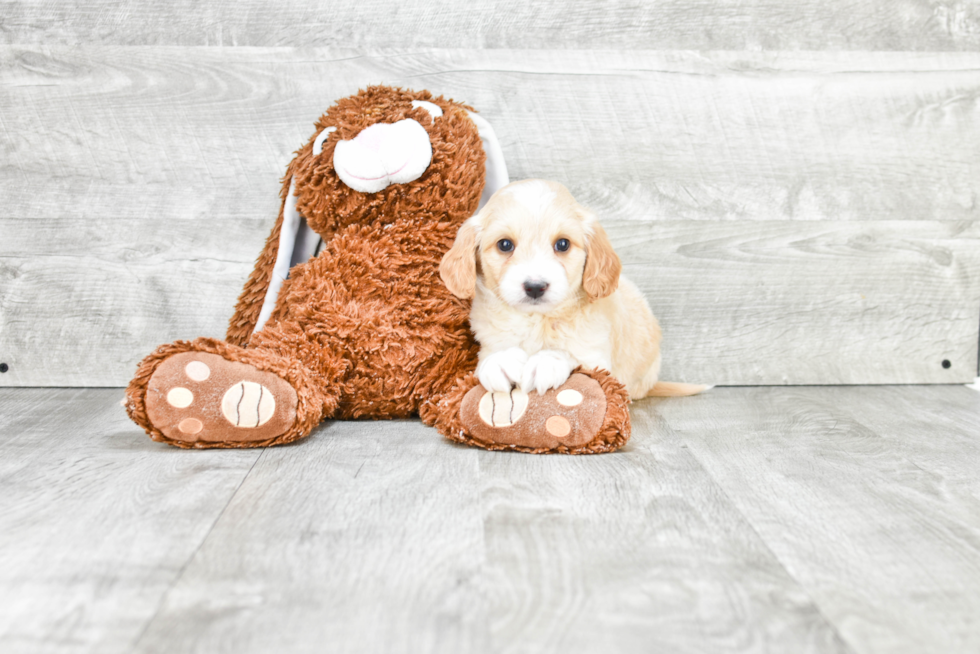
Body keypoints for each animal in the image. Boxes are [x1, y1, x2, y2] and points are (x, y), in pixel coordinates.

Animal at [442, 179, 704, 400]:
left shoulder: (597, 359)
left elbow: (572, 354)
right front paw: (500, 362)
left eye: (563, 244)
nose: (535, 287)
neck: (536, 319)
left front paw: (547, 362)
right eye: (505, 245)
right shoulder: (487, 343)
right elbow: (489, 358)